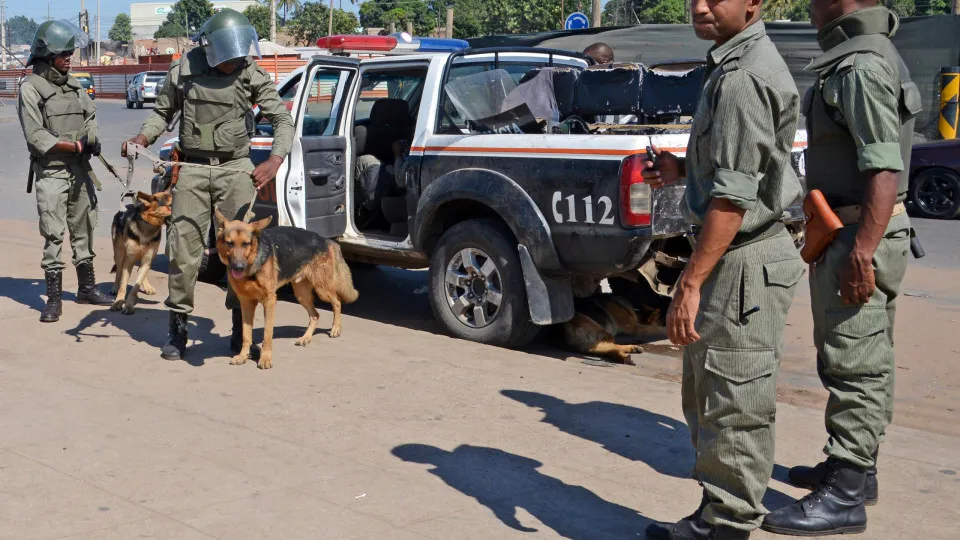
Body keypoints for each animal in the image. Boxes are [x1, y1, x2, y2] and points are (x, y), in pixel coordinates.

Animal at [214, 209, 360, 370]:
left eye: (246, 244)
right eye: (230, 243)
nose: (239, 267)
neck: (253, 263)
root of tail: (325, 240)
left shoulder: (269, 301)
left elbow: (267, 333)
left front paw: (265, 358)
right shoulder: (246, 303)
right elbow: (246, 334)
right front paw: (243, 356)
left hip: (322, 288)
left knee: (337, 301)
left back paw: (335, 328)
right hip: (301, 294)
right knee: (315, 315)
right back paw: (306, 338)